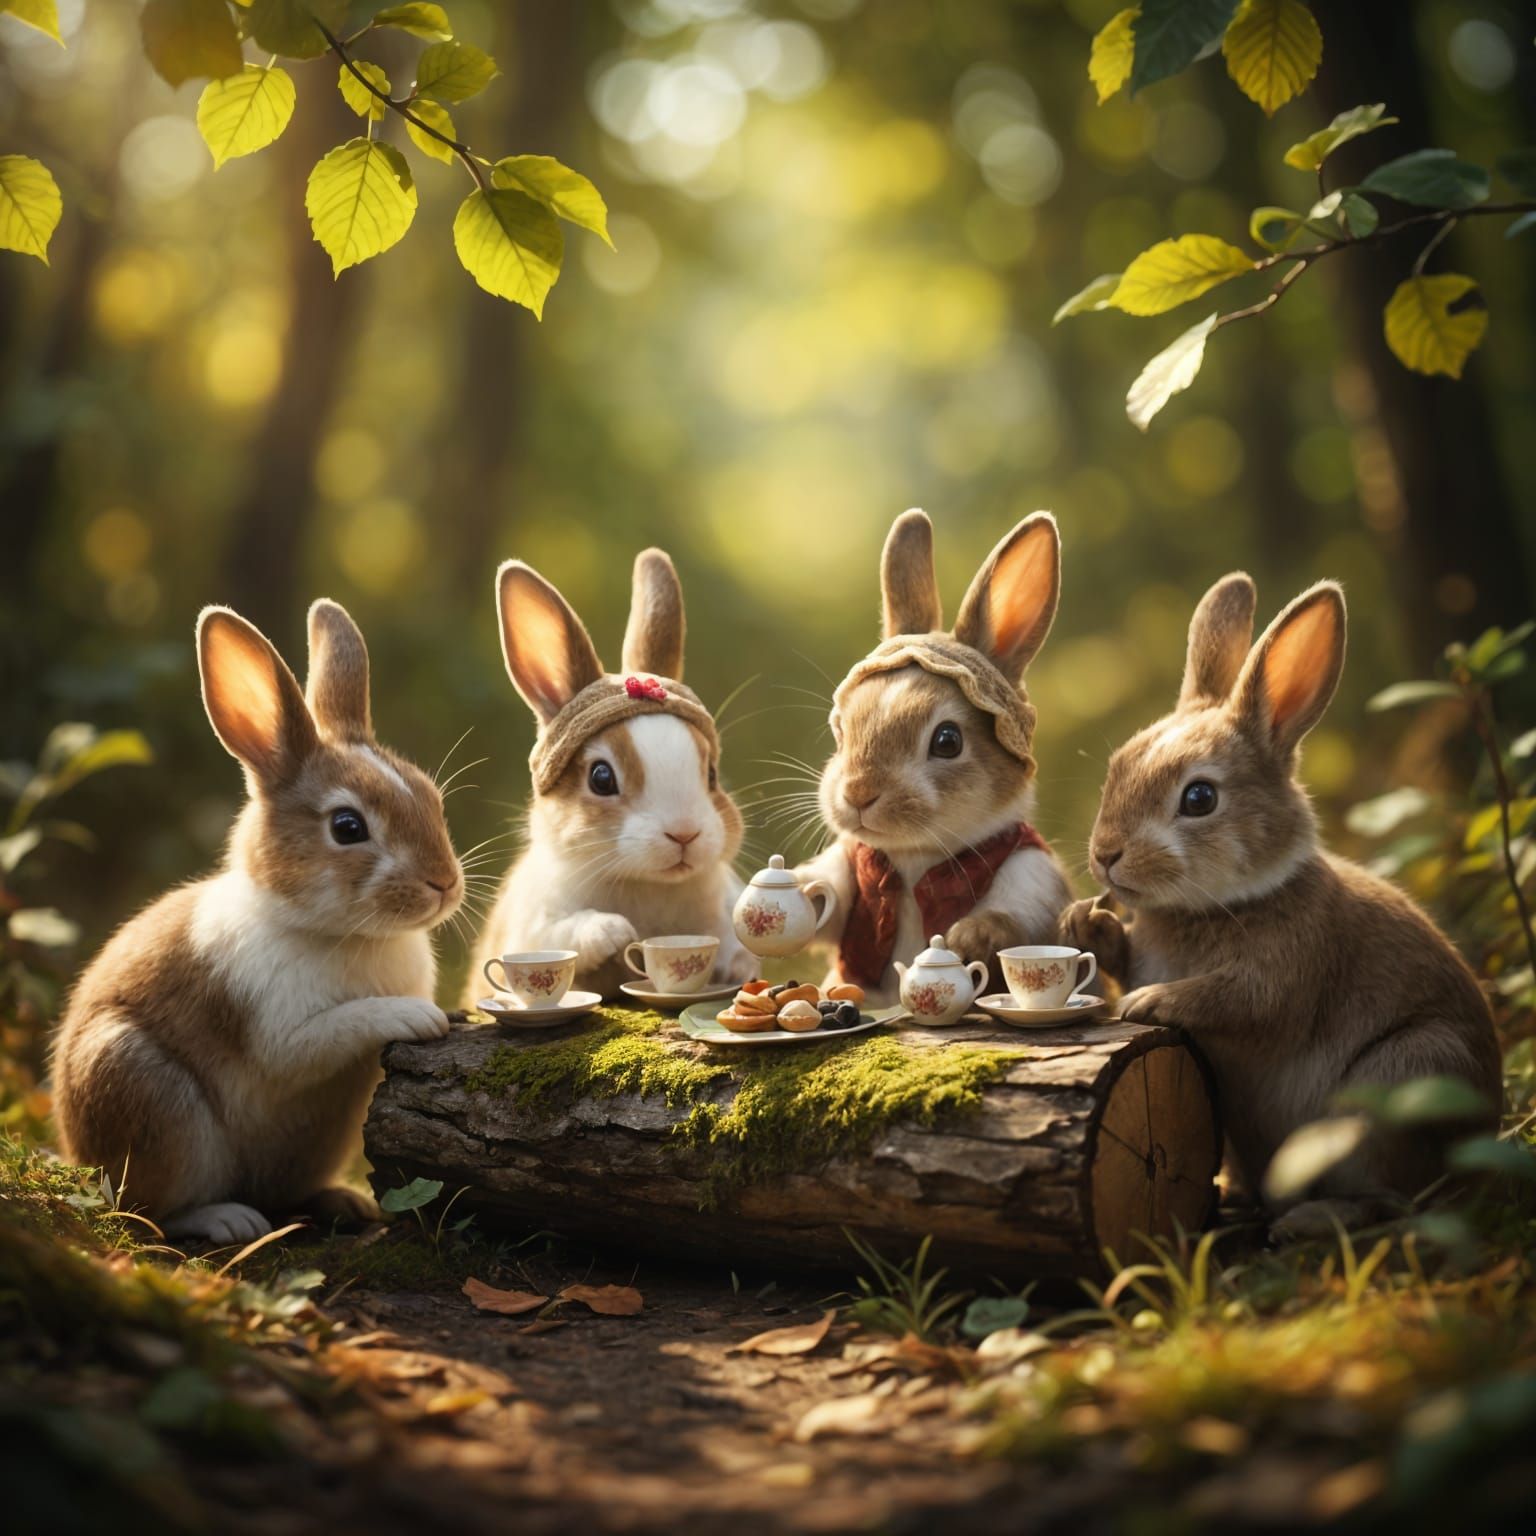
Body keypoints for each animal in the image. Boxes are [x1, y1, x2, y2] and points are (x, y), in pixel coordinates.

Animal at [51, 600, 464, 1247]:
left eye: (430, 799)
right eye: (347, 827)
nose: (444, 883)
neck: (338, 931)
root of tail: (77, 1151)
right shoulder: (280, 1031)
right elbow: (334, 1029)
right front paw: (417, 1016)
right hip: (140, 1085)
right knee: (146, 1208)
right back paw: (228, 1219)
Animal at [471, 548, 755, 1002]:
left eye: (711, 773)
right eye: (601, 778)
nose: (685, 834)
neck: (647, 883)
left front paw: (740, 966)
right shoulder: (534, 927)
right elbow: (564, 934)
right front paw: (614, 931)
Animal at [797, 509, 1074, 1006]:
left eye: (947, 741)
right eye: (841, 730)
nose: (859, 793)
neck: (915, 861)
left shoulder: (1033, 878)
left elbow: (1012, 922)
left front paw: (967, 938)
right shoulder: (850, 869)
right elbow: (826, 896)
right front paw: (793, 889)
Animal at [1062, 573, 1503, 1223]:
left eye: (1199, 799)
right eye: (1118, 766)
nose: (1105, 855)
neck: (1229, 900)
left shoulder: (1285, 971)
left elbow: (1240, 998)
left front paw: (1149, 1003)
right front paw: (1082, 925)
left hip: (1402, 1084)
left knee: (1400, 1198)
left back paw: (1312, 1220)